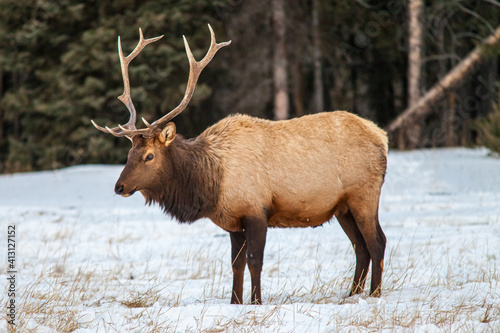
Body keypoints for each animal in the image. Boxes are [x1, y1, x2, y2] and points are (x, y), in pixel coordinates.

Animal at [93, 23, 386, 304]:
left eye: (149, 156)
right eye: (129, 154)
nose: (119, 187)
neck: (211, 185)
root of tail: (381, 136)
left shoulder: (256, 210)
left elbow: (255, 261)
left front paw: (255, 301)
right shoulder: (233, 220)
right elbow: (236, 264)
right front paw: (235, 302)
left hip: (364, 194)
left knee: (376, 242)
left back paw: (374, 295)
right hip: (342, 207)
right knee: (360, 247)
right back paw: (352, 295)